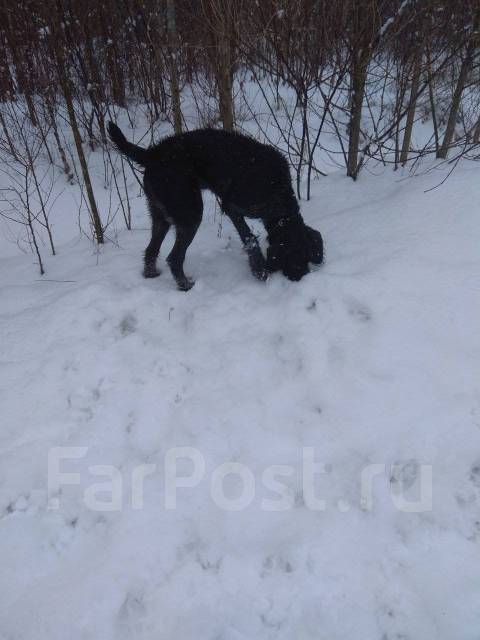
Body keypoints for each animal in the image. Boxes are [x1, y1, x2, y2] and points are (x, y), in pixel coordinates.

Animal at [108, 122, 324, 290]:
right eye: (292, 257)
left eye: (306, 255)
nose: (301, 277)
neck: (277, 193)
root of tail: (152, 154)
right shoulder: (232, 206)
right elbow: (249, 237)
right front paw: (259, 270)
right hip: (191, 214)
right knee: (174, 258)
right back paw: (185, 286)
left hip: (161, 216)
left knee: (151, 250)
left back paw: (151, 275)